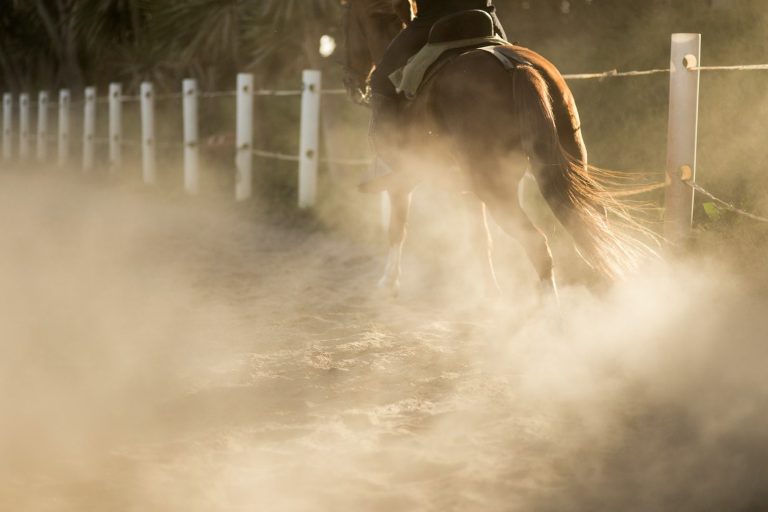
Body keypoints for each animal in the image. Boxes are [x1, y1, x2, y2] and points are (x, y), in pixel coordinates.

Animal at [341, 0, 656, 299]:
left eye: (348, 15)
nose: (350, 82)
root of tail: (518, 66)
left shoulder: (404, 178)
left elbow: (398, 227)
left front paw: (388, 283)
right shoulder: (466, 189)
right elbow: (481, 239)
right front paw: (490, 294)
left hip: (495, 187)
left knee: (537, 244)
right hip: (564, 166)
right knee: (591, 227)